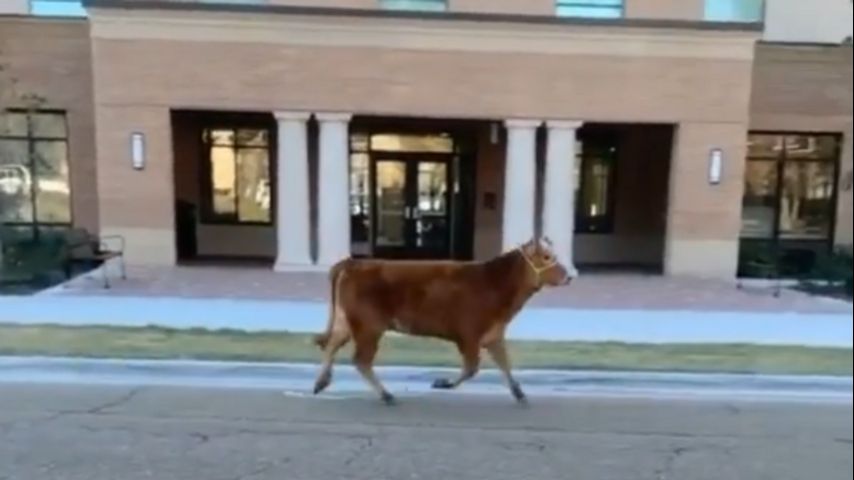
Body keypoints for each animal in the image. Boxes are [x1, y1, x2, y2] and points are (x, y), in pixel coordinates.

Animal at [310, 236, 572, 404]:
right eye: (546, 256)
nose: (569, 276)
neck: (496, 283)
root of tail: (353, 262)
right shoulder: (469, 334)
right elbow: (471, 368)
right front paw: (443, 383)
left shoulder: (494, 334)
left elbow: (505, 363)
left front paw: (519, 392)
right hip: (368, 326)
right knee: (361, 360)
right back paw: (386, 395)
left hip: (347, 321)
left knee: (332, 344)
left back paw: (321, 382)